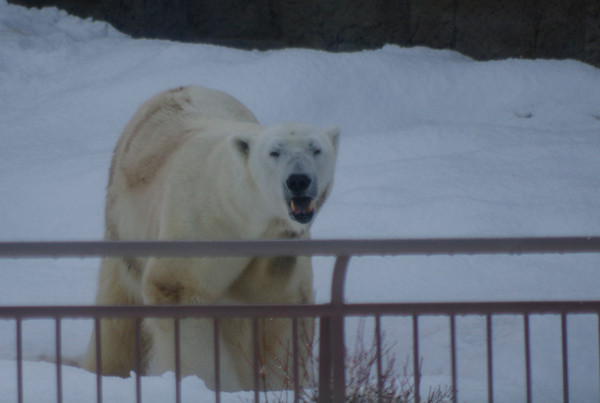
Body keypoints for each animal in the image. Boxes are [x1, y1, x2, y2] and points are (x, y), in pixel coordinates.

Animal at [82, 85, 340, 392]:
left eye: (316, 148)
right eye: (274, 152)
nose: (298, 180)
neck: (243, 211)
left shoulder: (281, 249)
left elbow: (281, 309)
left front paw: (283, 385)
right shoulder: (202, 225)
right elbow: (178, 291)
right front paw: (216, 386)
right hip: (124, 227)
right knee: (117, 316)